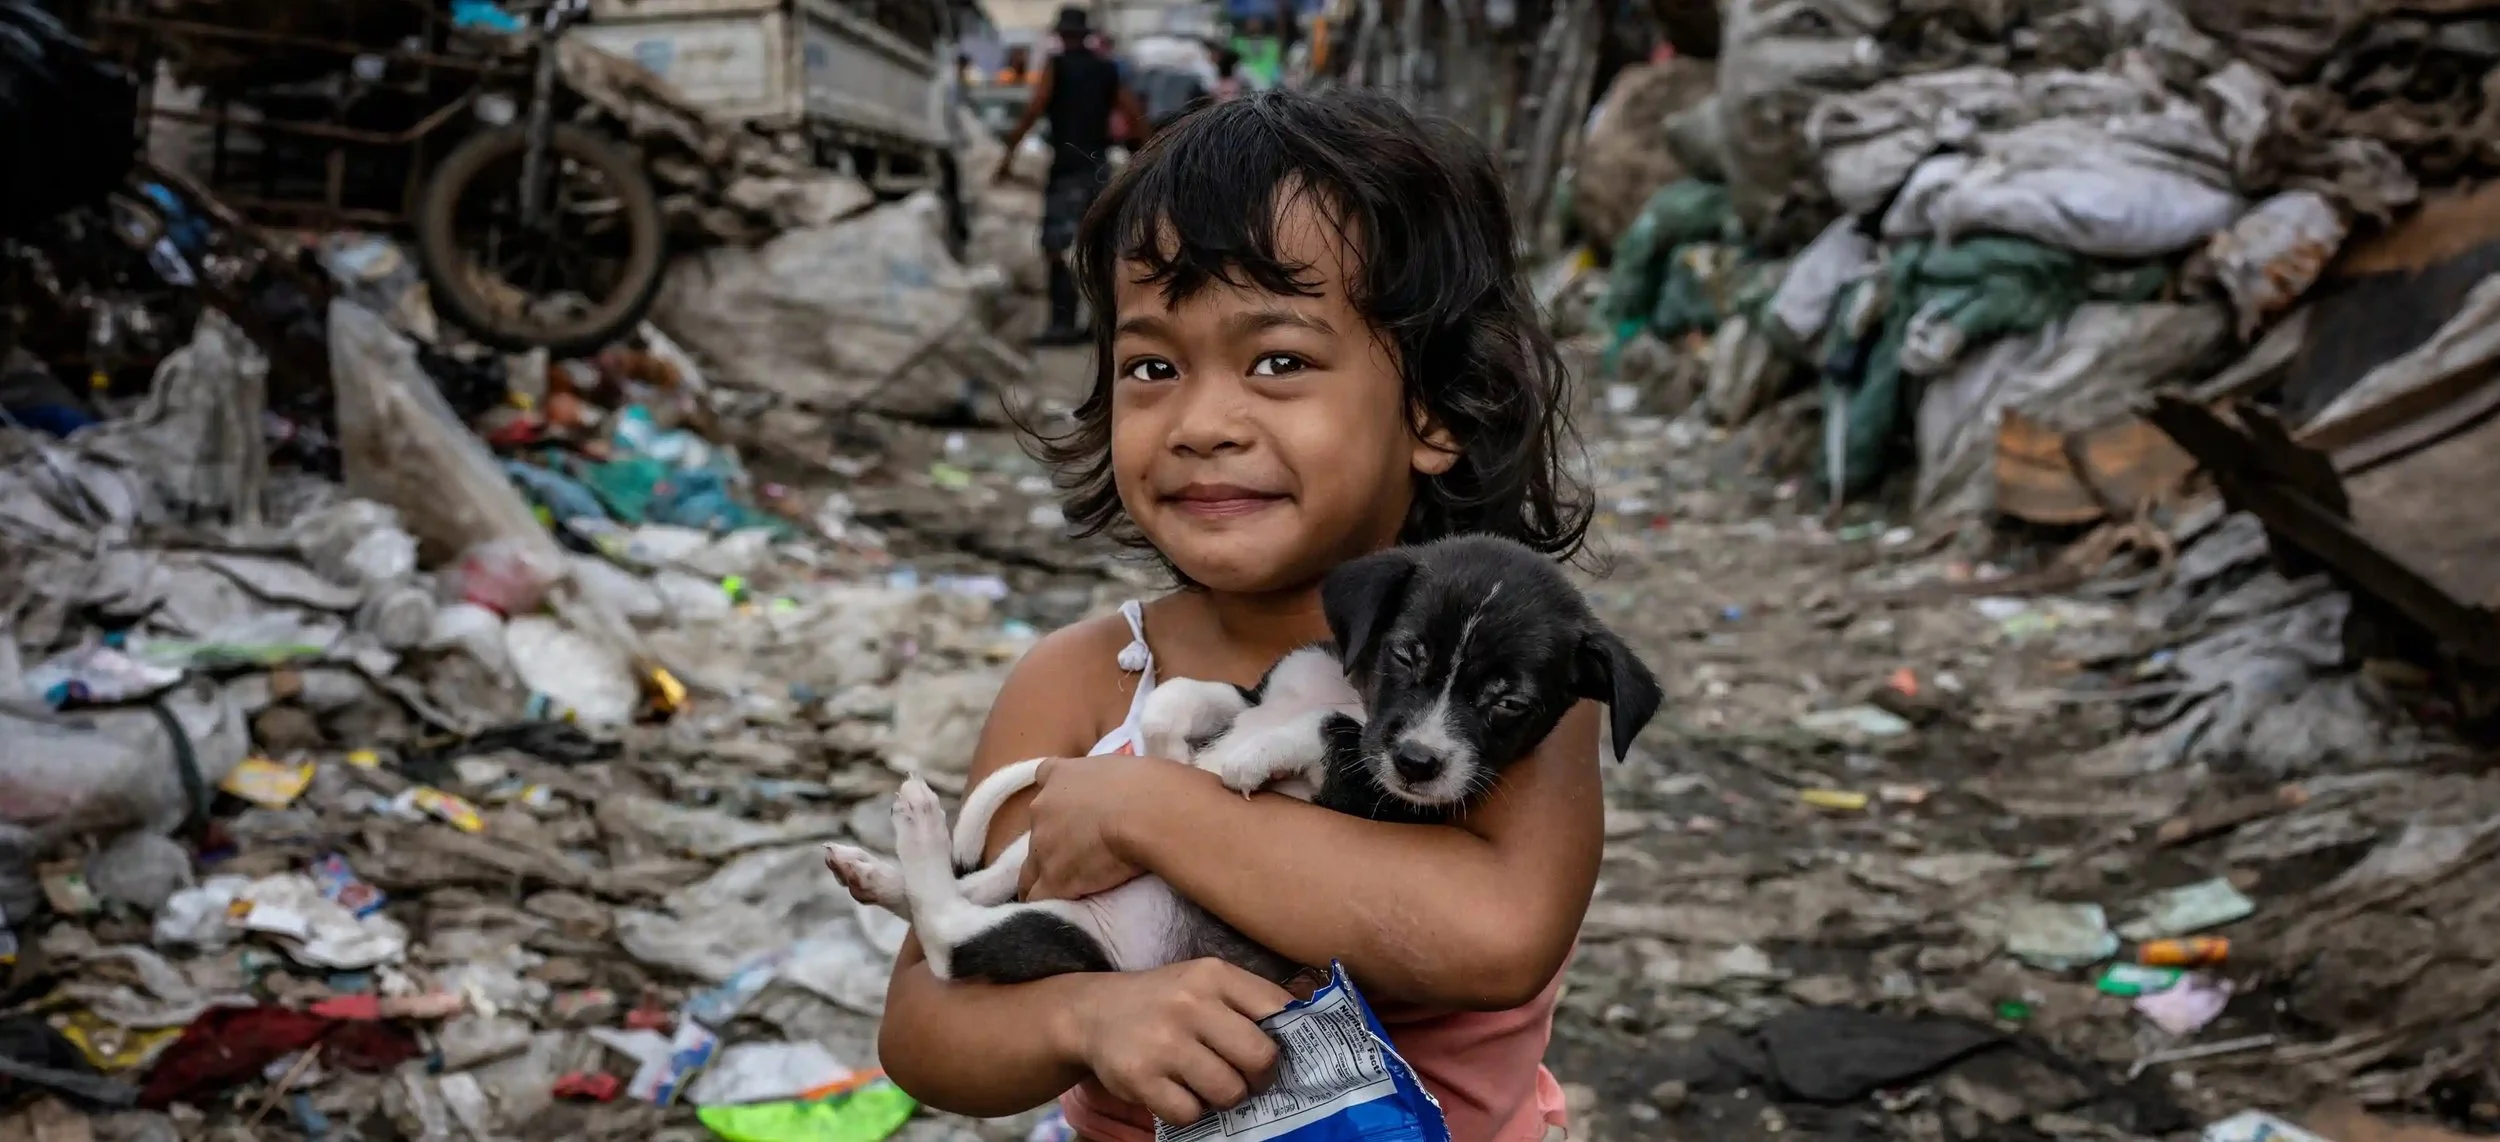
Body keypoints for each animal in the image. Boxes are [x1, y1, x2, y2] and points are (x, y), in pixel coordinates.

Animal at [824, 534, 1663, 987]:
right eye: (1407, 654)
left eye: (1509, 704)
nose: (1421, 763)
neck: (1357, 688)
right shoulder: (1258, 688)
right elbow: (1181, 698)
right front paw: (1171, 751)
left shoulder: (1372, 795)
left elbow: (1329, 731)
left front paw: (1247, 759)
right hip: (1042, 886)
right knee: (985, 882)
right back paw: (879, 870)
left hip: (1074, 937)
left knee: (949, 936)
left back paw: (915, 827)